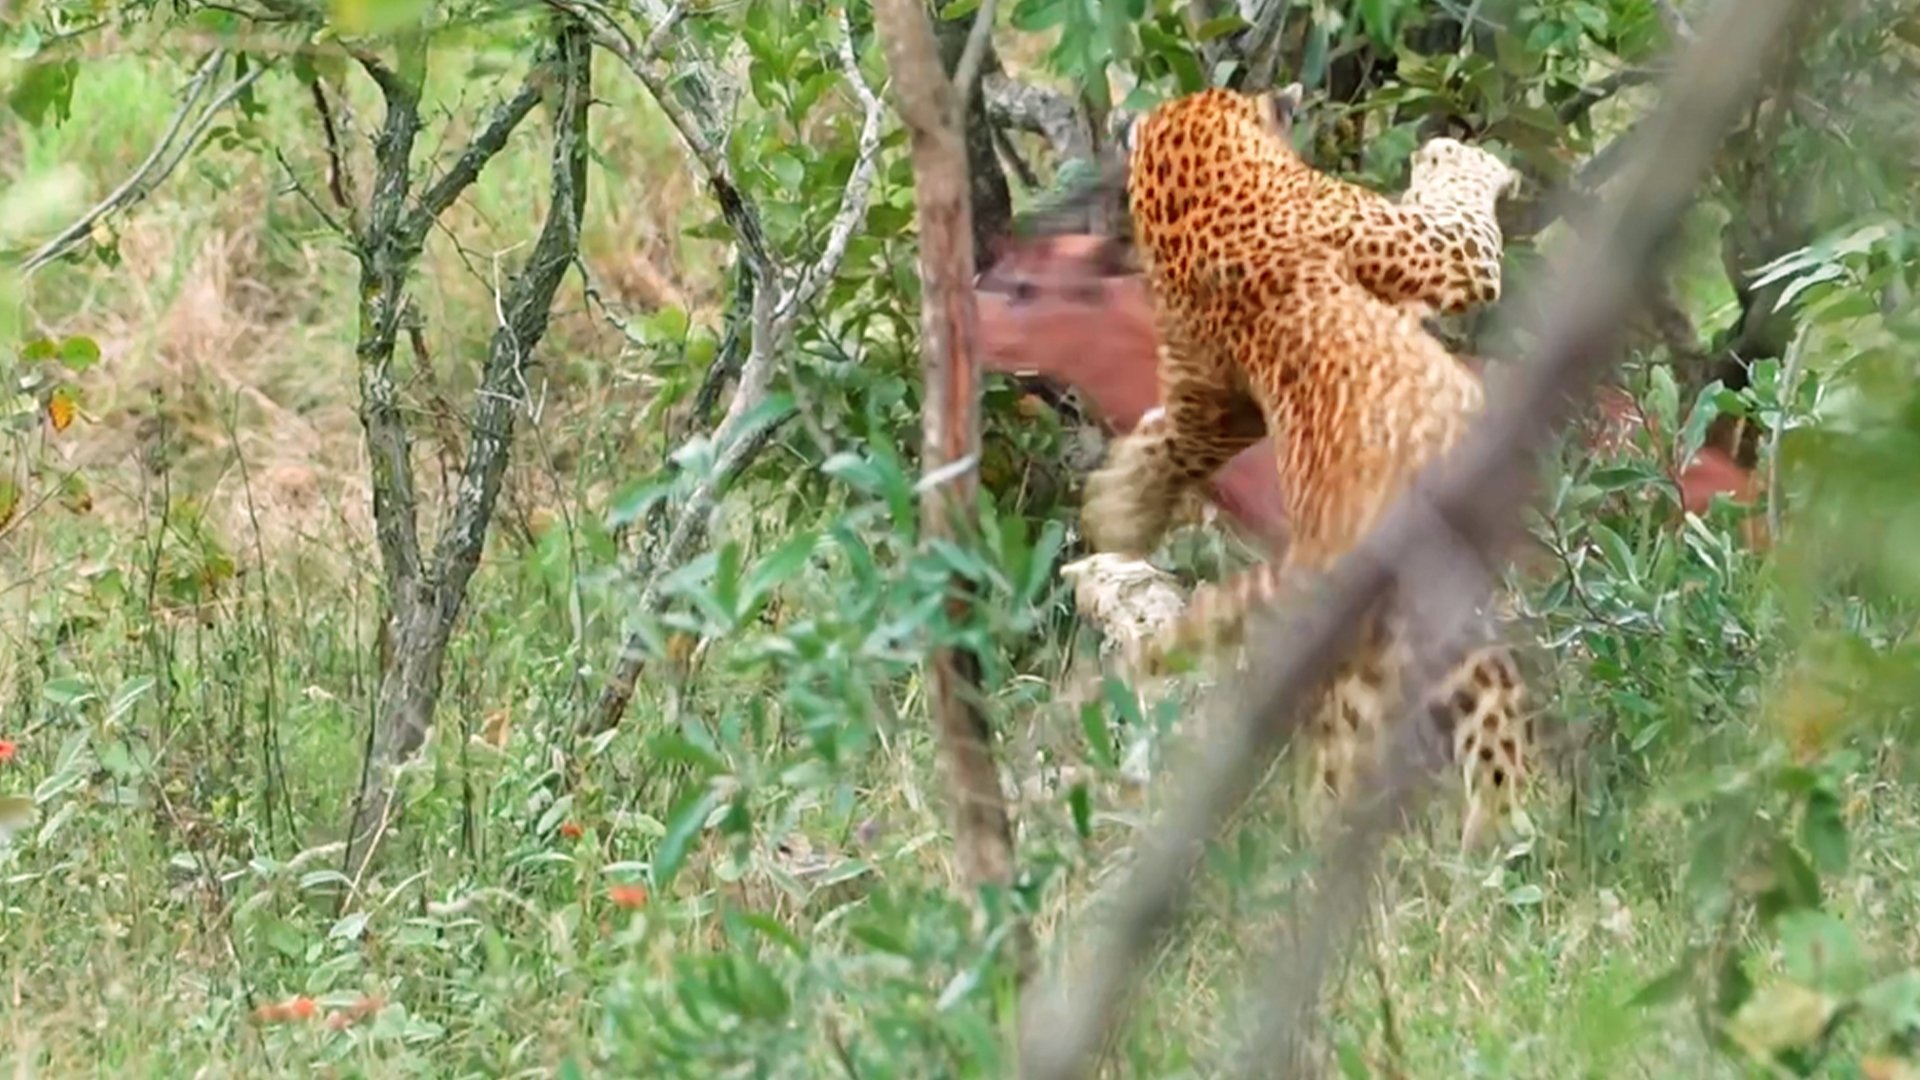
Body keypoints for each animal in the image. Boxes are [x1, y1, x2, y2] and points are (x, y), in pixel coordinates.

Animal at [1078, 84, 1532, 849]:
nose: (1285, 96)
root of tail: (1310, 556)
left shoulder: (1210, 389)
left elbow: (1177, 439)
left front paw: (1120, 506)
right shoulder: (1441, 253)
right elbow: (1460, 216)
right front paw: (1455, 157)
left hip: (1369, 676)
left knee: (1332, 779)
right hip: (1439, 630)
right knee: (1483, 727)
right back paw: (1509, 838)